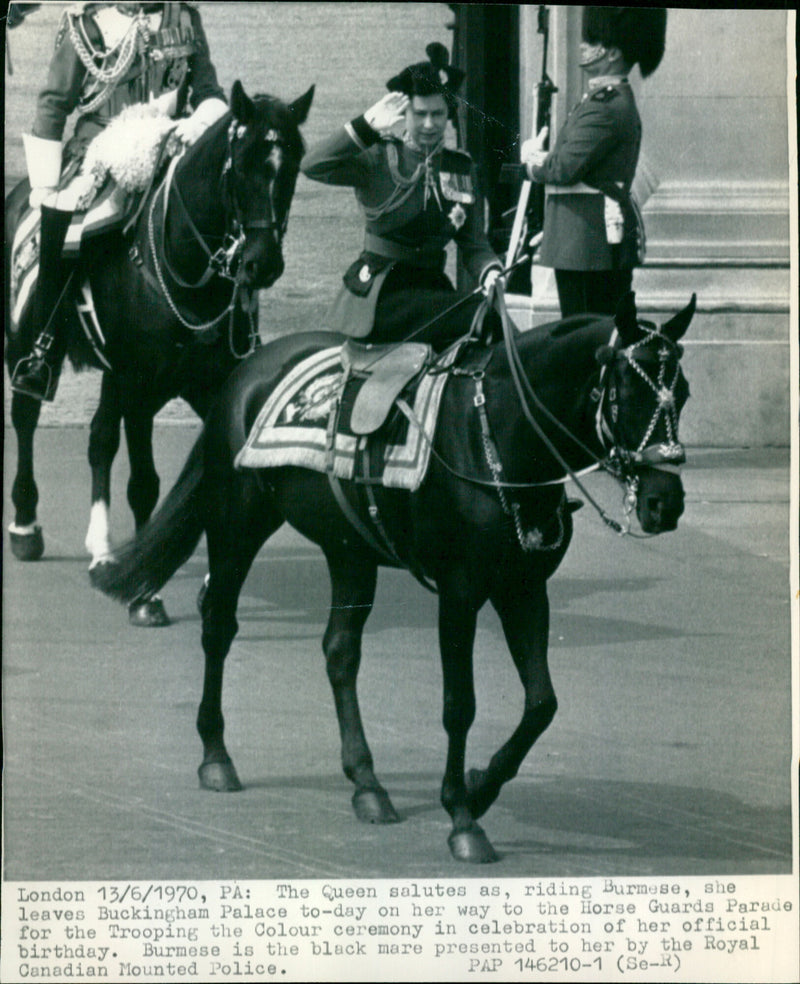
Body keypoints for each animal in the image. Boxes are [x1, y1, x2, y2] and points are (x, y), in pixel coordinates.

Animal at [5, 82, 312, 624]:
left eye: (293, 163)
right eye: (242, 165)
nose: (262, 264)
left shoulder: (206, 385)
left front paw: (209, 580)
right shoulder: (139, 385)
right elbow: (144, 482)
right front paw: (146, 592)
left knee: (99, 439)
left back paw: (103, 548)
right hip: (31, 346)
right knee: (25, 417)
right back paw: (26, 525)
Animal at [92, 288, 692, 856]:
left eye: (681, 393)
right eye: (628, 392)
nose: (665, 502)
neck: (497, 434)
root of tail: (249, 368)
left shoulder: (523, 588)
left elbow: (542, 704)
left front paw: (479, 786)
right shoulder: (460, 591)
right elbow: (459, 706)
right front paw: (462, 816)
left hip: (350, 551)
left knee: (339, 653)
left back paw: (367, 783)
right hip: (237, 523)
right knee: (219, 625)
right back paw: (216, 755)